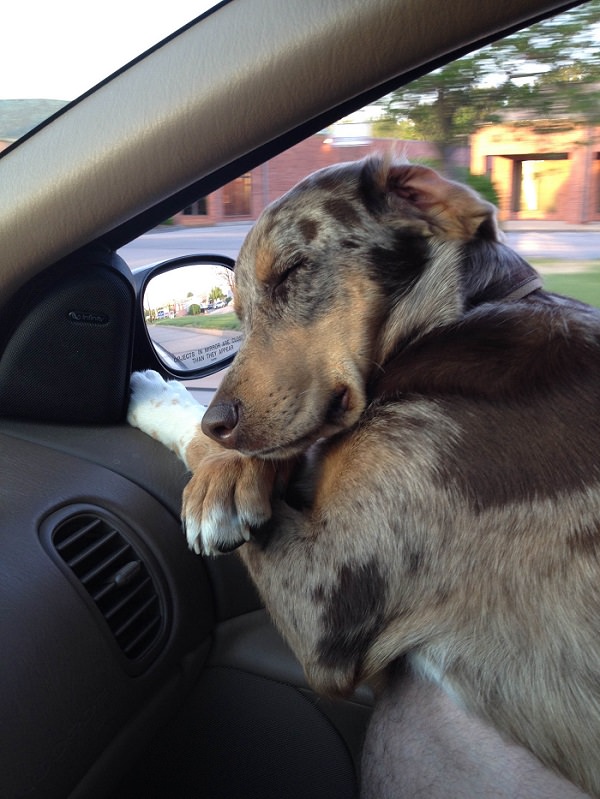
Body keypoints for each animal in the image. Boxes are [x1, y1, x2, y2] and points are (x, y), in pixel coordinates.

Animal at [129, 155, 600, 792]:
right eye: (238, 310)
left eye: (293, 272)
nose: (219, 421)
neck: (455, 320)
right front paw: (236, 465)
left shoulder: (324, 603)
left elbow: (205, 442)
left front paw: (187, 435)